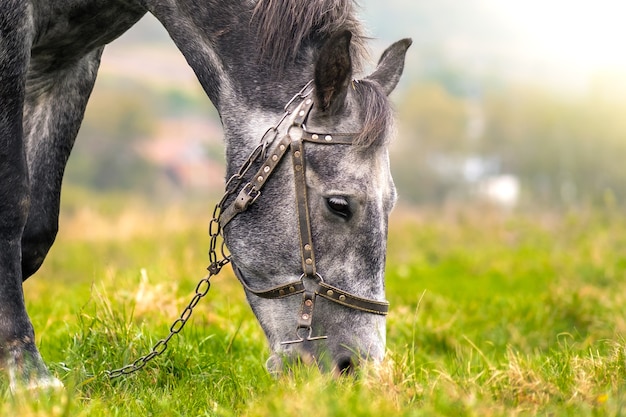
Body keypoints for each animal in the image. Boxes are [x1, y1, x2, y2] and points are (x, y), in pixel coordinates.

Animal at [0, 0, 410, 390]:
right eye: (339, 205)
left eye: (392, 203)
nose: (355, 368)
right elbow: (12, 201)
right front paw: (27, 374)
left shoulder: (71, 60)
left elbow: (36, 232)